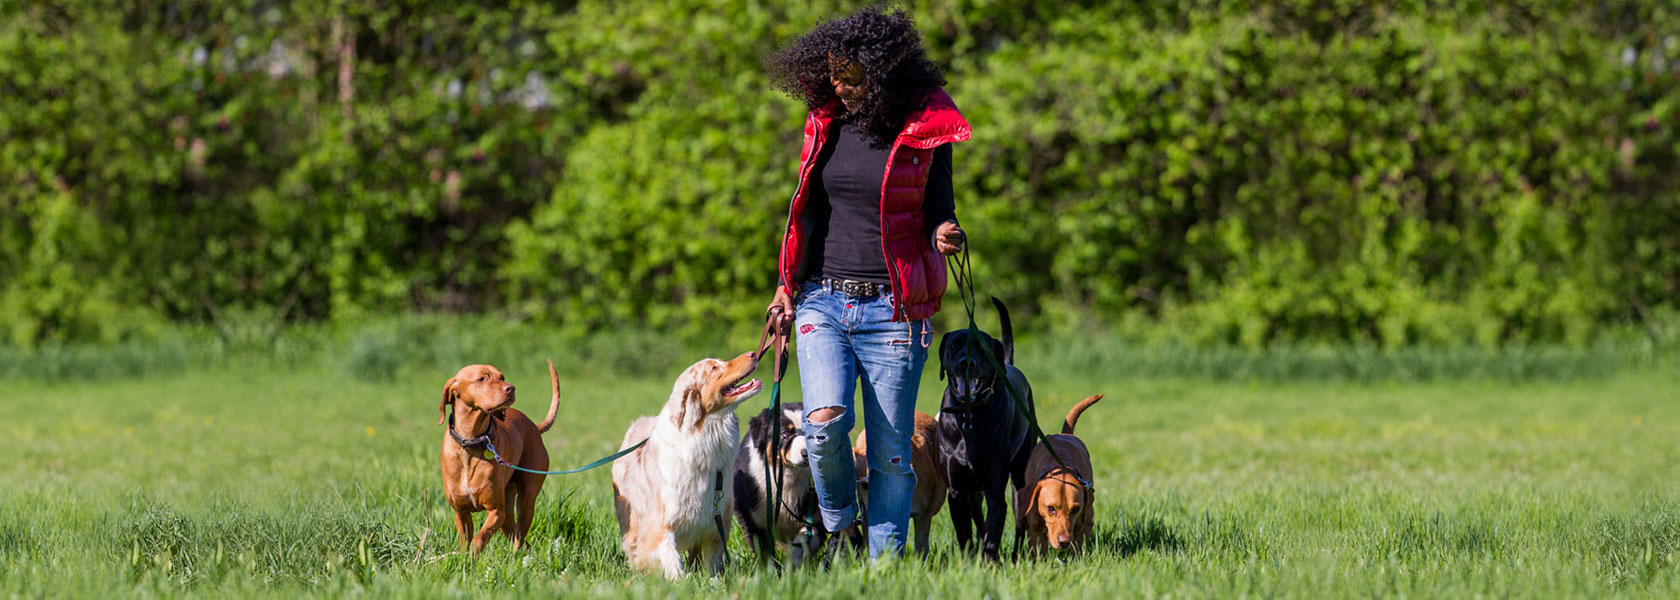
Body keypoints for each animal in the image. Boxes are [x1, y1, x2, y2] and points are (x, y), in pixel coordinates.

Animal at [611, 352, 762, 578]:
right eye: (714, 368)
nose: (752, 353)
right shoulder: (661, 524)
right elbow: (670, 557)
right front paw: (679, 580)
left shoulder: (713, 526)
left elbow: (711, 564)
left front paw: (712, 581)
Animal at [732, 401, 823, 564]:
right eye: (786, 433)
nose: (806, 454)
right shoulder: (756, 521)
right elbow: (764, 553)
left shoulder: (815, 517)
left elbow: (803, 544)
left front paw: (793, 566)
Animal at [934, 297, 1034, 557]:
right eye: (954, 345)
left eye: (981, 347)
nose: (966, 363)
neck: (969, 416)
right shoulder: (957, 490)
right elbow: (965, 533)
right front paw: (968, 560)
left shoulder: (995, 490)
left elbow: (993, 532)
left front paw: (989, 560)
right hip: (974, 492)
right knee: (978, 519)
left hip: (1019, 475)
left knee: (1020, 519)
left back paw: (1017, 554)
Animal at [1007, 393, 1102, 554]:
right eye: (1050, 508)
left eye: (1075, 509)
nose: (1064, 541)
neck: (1061, 470)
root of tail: (1063, 433)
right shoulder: (1034, 530)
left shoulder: (1086, 523)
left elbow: (1076, 549)